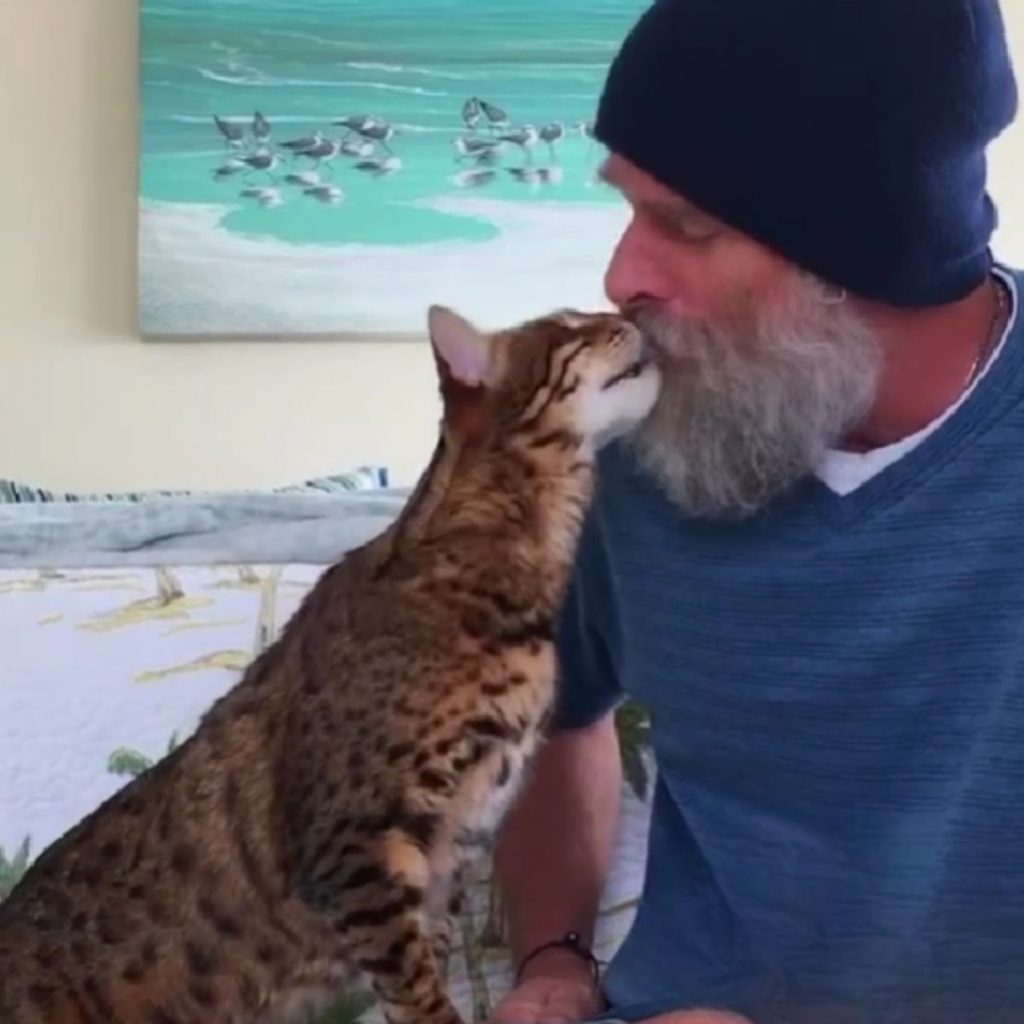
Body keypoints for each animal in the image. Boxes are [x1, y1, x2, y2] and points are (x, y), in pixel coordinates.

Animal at [0, 303, 659, 1024]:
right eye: (571, 326)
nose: (630, 312)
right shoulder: (360, 848)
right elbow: (421, 996)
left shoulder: (452, 859)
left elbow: (429, 970)